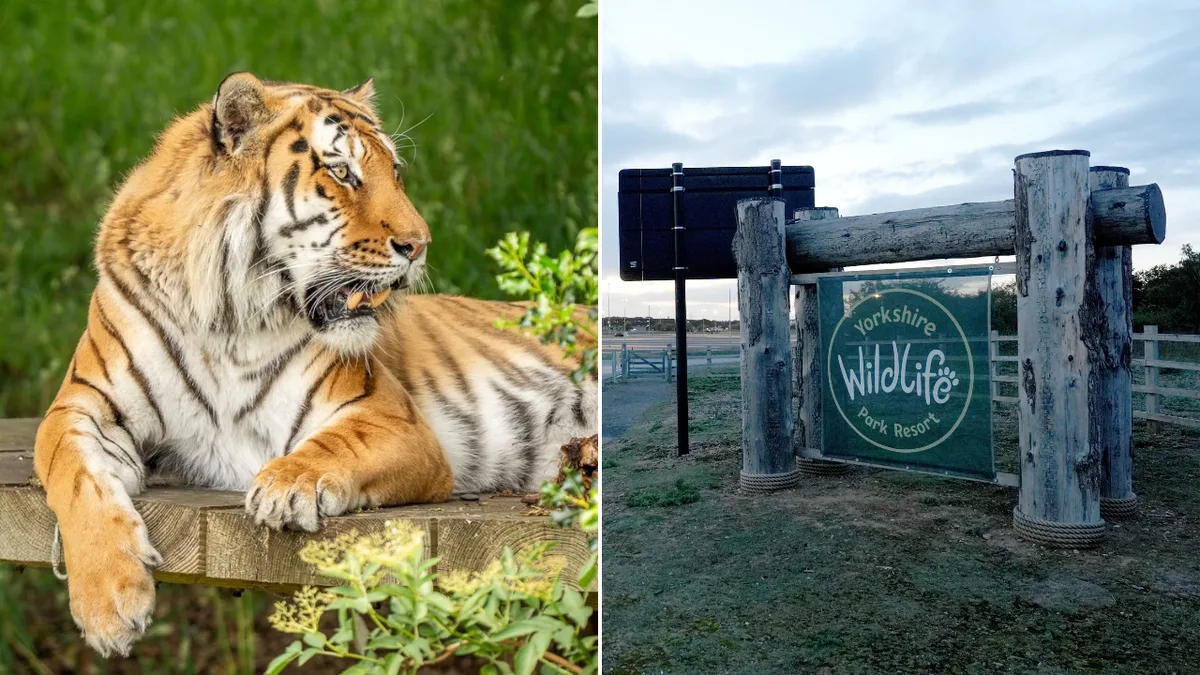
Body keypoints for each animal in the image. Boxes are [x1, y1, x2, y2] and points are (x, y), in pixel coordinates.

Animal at [32, 72, 597, 656]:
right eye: (342, 172)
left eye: (394, 172)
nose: (419, 245)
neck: (227, 322)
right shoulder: (83, 407)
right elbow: (72, 475)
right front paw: (109, 603)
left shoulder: (390, 416)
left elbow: (332, 446)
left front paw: (286, 486)